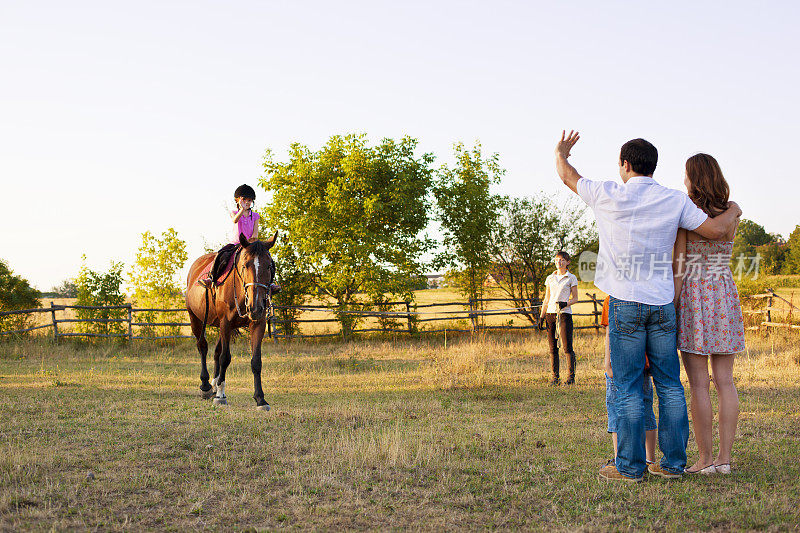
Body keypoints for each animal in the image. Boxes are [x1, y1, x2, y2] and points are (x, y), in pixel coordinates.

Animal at [185, 231, 278, 410]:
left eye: (269, 266)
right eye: (245, 265)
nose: (255, 307)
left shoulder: (258, 324)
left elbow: (256, 361)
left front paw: (260, 399)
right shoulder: (226, 323)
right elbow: (225, 358)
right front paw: (220, 396)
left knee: (215, 352)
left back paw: (214, 384)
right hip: (196, 319)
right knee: (203, 347)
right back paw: (206, 386)